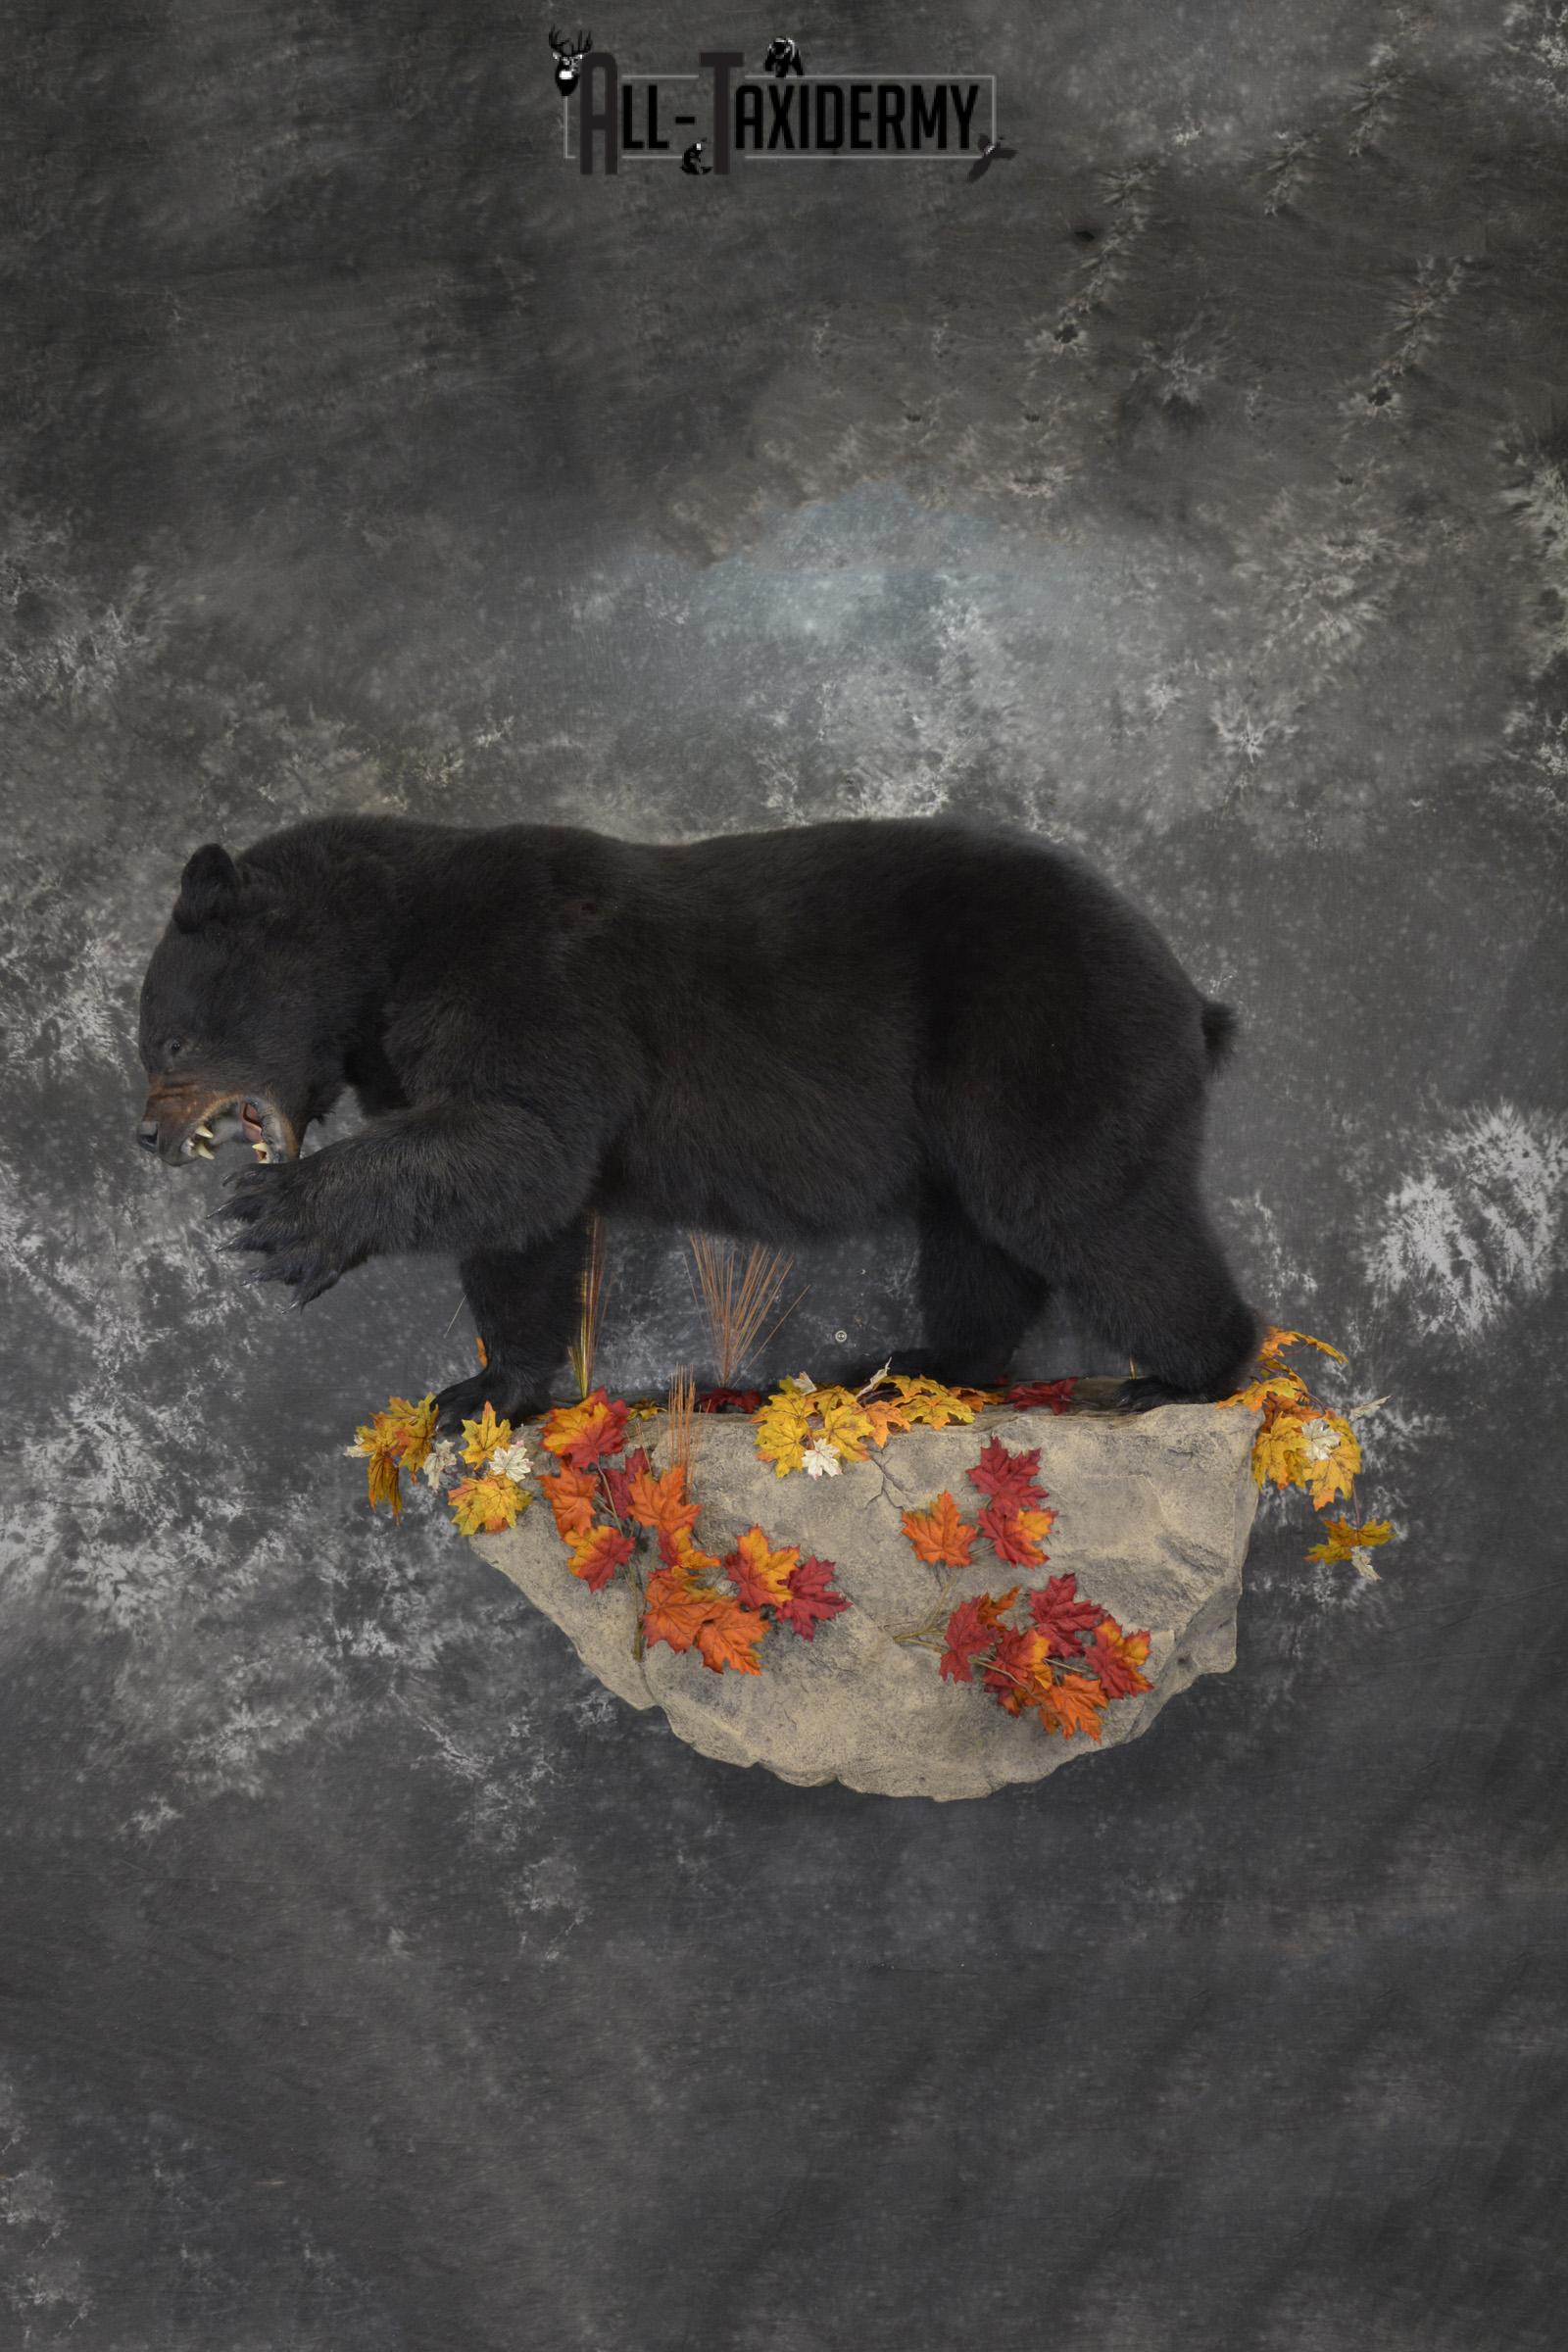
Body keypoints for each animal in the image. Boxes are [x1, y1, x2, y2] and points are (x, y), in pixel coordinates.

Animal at [134, 813, 1261, 1432]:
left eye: (168, 1042)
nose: (147, 1137)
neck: (391, 941)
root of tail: (1194, 996)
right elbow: (523, 1220)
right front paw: (482, 1388)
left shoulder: (520, 970)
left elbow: (528, 1137)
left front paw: (284, 1217)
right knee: (978, 1241)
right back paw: (919, 1366)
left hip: (1041, 1033)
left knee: (1084, 1206)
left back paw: (1184, 1376)